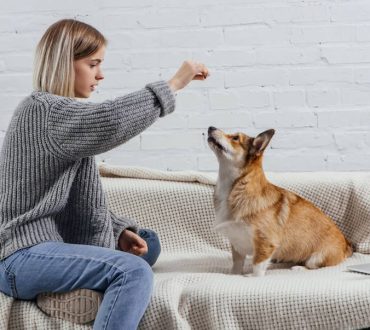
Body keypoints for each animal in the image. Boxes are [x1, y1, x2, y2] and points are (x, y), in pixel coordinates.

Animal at [208, 126, 352, 276]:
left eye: (235, 138)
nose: (211, 127)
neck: (235, 186)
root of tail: (346, 244)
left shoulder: (265, 243)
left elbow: (257, 267)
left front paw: (252, 277)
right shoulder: (236, 243)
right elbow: (236, 264)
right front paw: (234, 274)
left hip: (317, 258)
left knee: (311, 265)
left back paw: (298, 267)